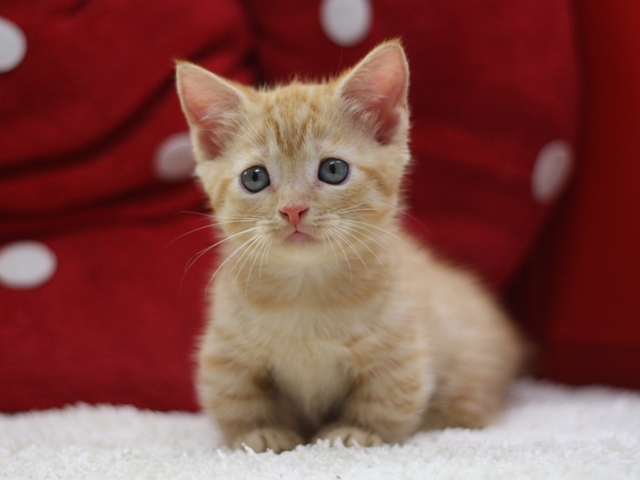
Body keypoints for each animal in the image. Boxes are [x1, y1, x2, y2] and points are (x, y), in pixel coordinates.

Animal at [176, 42, 524, 454]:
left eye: (333, 170)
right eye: (255, 177)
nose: (293, 209)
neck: (304, 291)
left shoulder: (398, 350)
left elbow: (385, 399)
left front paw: (355, 432)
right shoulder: (226, 352)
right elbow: (237, 398)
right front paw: (259, 433)